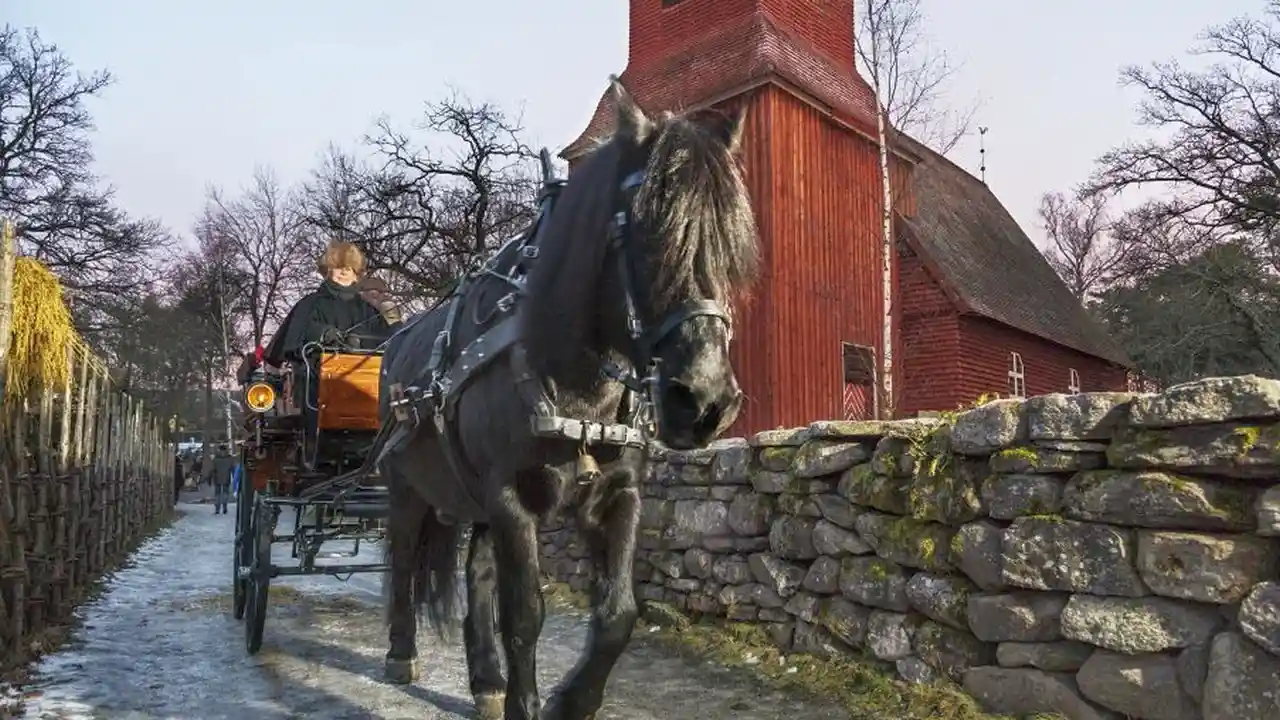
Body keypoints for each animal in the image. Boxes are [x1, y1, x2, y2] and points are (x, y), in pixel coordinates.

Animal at [376, 78, 757, 717]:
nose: (704, 401)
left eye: (731, 248)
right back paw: (402, 653)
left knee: (477, 575)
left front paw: (571, 700)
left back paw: (486, 679)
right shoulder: (510, 499)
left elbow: (618, 614)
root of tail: (396, 342)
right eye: (650, 234)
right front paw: (530, 702)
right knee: (403, 558)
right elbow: (525, 615)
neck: (579, 389)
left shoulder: (616, 495)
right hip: (407, 489)